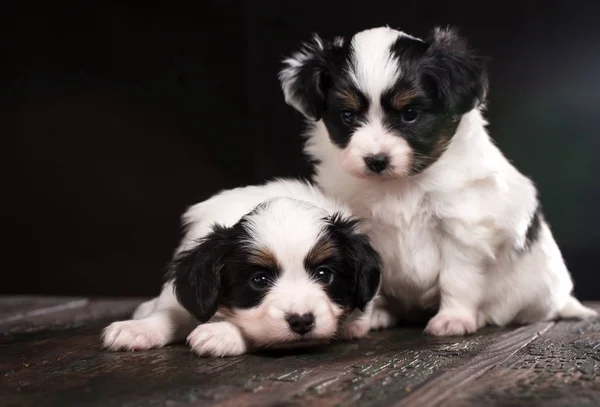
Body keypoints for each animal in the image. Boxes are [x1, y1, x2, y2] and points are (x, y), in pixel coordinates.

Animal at [102, 179, 380, 356]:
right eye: (259, 280)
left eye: (324, 275)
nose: (301, 321)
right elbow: (170, 312)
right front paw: (138, 329)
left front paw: (222, 333)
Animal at [280, 26, 596, 338]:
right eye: (347, 116)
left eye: (410, 114)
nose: (376, 160)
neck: (400, 184)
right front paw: (364, 320)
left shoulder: (462, 227)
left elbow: (457, 278)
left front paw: (453, 319)